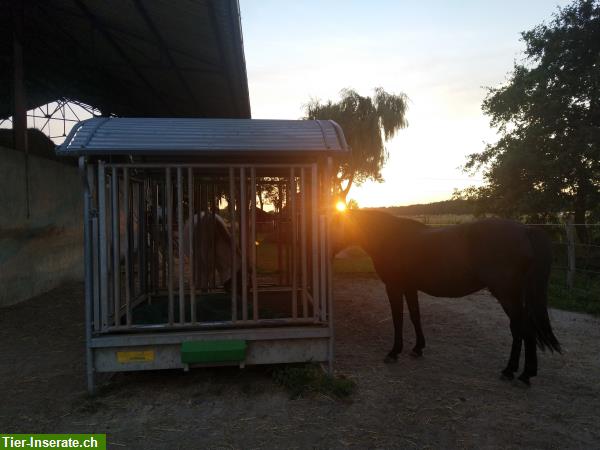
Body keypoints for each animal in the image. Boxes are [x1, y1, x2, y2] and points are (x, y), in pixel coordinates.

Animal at [332, 210, 564, 384]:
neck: (390, 236)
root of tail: (525, 230)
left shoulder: (394, 287)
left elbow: (398, 319)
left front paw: (394, 352)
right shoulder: (410, 287)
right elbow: (415, 316)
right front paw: (417, 348)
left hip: (507, 294)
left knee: (521, 329)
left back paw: (513, 371)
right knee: (527, 328)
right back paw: (525, 373)